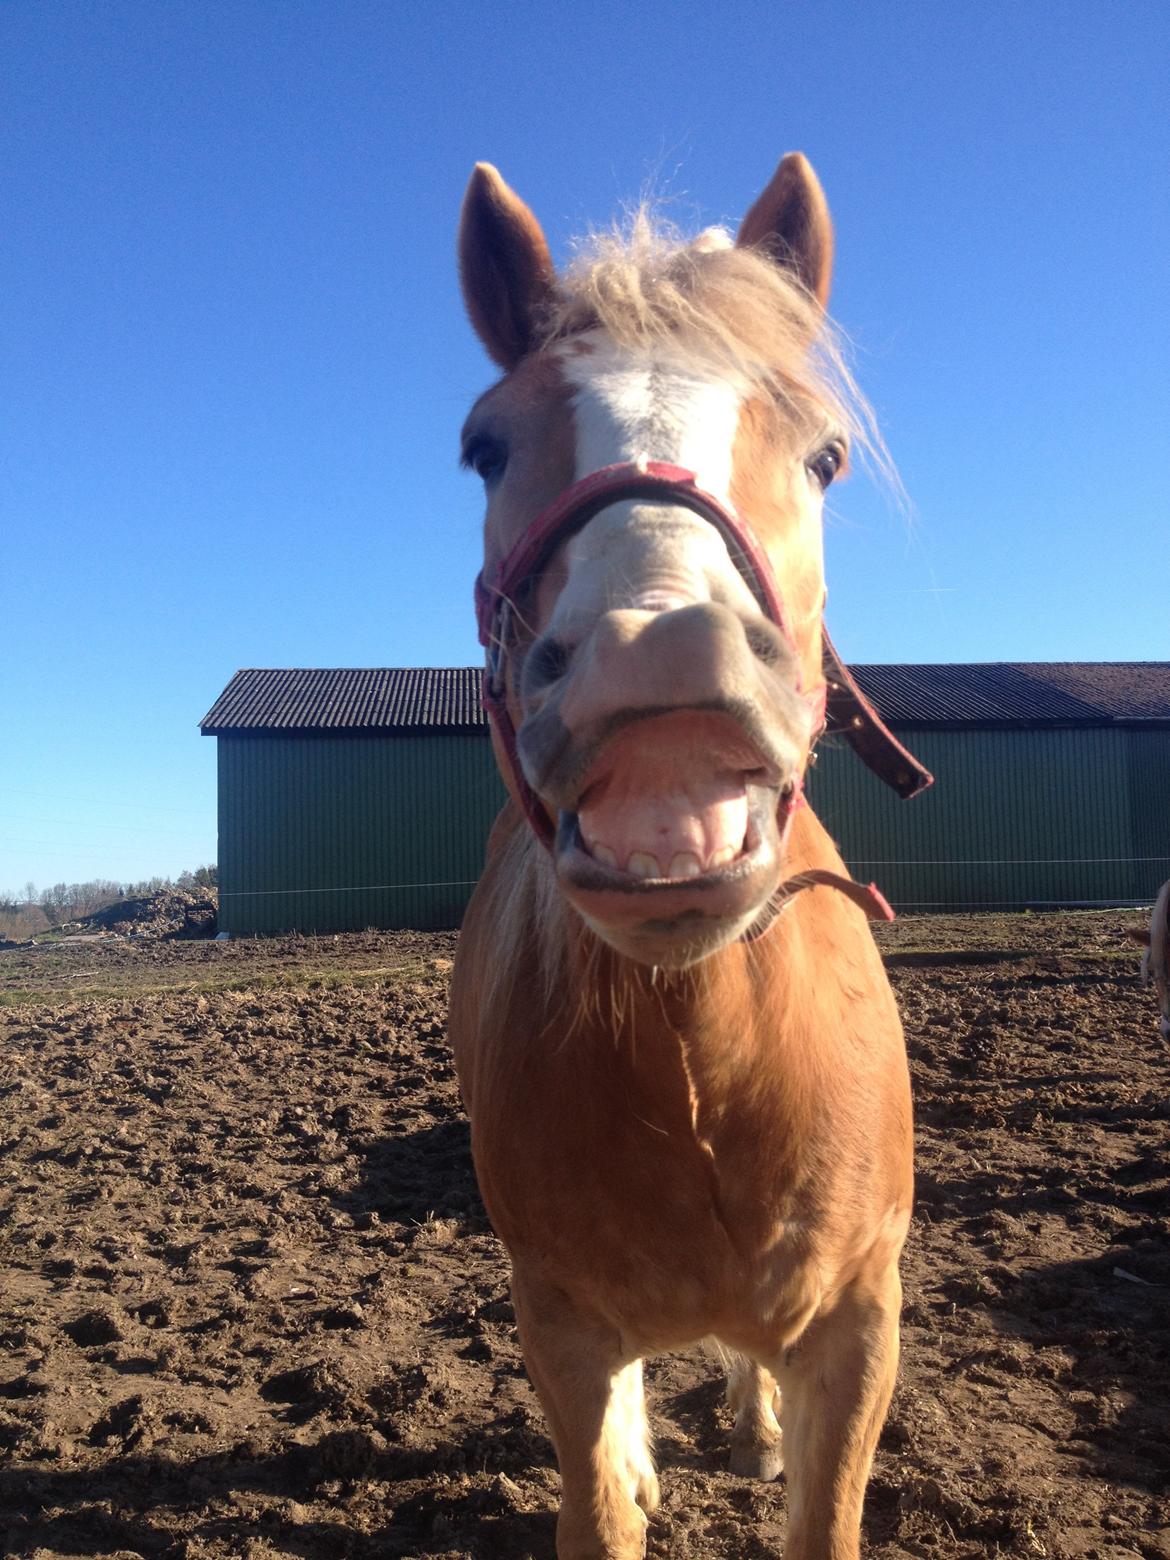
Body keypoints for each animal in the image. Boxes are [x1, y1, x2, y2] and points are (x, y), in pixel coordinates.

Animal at [449, 148, 935, 1560]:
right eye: (485, 447)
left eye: (825, 454)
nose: (660, 667)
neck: (699, 1052)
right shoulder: (560, 1320)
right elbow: (599, 1505)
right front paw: (634, 1470)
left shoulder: (859, 1326)